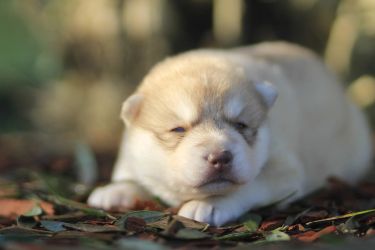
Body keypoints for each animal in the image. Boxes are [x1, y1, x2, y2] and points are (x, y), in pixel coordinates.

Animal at [87, 42, 374, 226]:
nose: (220, 158)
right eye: (178, 129)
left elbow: (246, 187)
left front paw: (210, 204)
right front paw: (115, 191)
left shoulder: (284, 170)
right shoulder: (132, 154)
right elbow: (134, 177)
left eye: (241, 125)